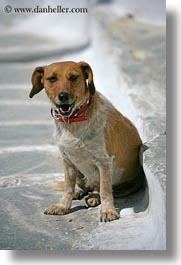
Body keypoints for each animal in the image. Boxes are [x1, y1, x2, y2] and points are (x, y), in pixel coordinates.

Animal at [29, 59, 144, 221]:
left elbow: (105, 190)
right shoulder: (68, 161)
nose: (63, 96)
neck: (73, 122)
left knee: (100, 189)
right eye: (52, 78)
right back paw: (80, 192)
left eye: (73, 77)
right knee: (83, 187)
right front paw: (63, 206)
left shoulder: (104, 162)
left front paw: (108, 211)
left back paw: (94, 197)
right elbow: (68, 188)